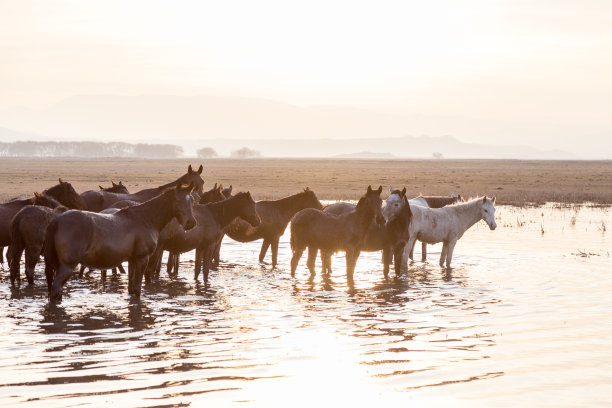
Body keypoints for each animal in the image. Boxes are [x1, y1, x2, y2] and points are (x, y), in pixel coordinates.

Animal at [43, 183, 196, 302]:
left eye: (191, 201)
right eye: (178, 201)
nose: (191, 223)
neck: (145, 218)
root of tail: (56, 221)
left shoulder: (132, 260)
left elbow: (131, 289)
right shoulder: (142, 259)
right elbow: (137, 290)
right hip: (67, 266)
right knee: (55, 290)